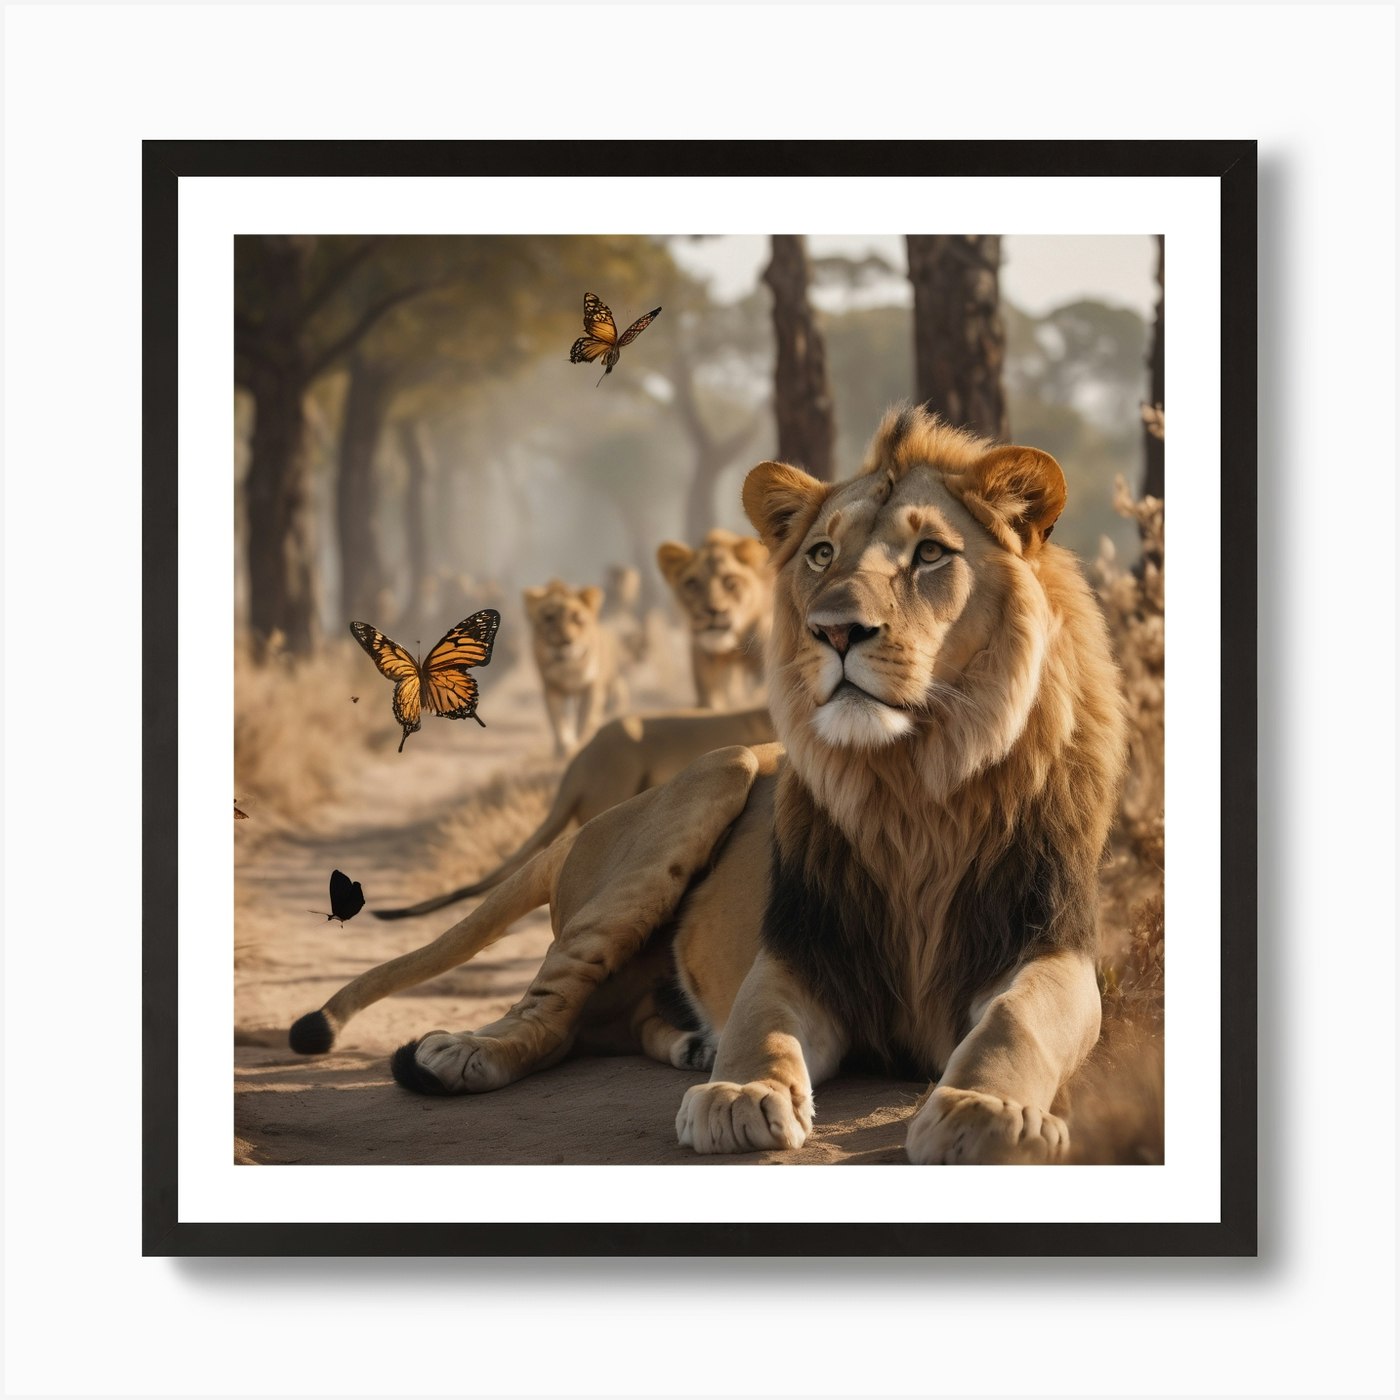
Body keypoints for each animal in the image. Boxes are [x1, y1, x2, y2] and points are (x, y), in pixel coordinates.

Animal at [523, 579, 627, 756]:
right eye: (549, 618)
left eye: (577, 618)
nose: (565, 641)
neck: (568, 668)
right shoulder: (552, 687)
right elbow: (558, 721)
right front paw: (564, 748)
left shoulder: (591, 687)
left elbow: (585, 719)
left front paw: (583, 743)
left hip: (612, 678)